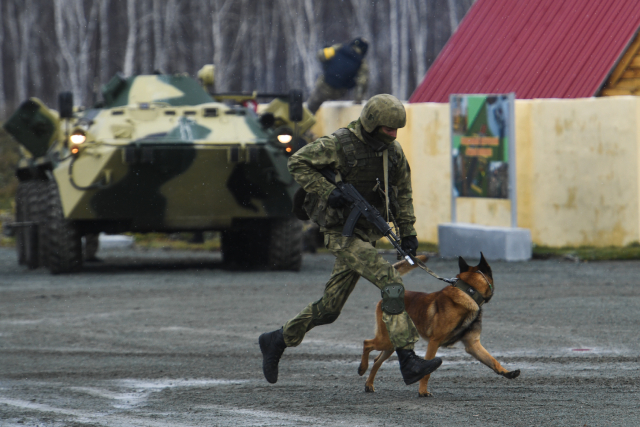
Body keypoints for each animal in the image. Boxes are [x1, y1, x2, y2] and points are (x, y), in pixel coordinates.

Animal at [360, 254, 520, 398]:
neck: (468, 292)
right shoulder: (434, 342)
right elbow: (427, 372)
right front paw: (422, 391)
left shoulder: (473, 345)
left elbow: (492, 360)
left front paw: (507, 372)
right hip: (386, 340)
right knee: (367, 343)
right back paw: (362, 368)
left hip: (393, 343)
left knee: (377, 360)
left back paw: (369, 384)